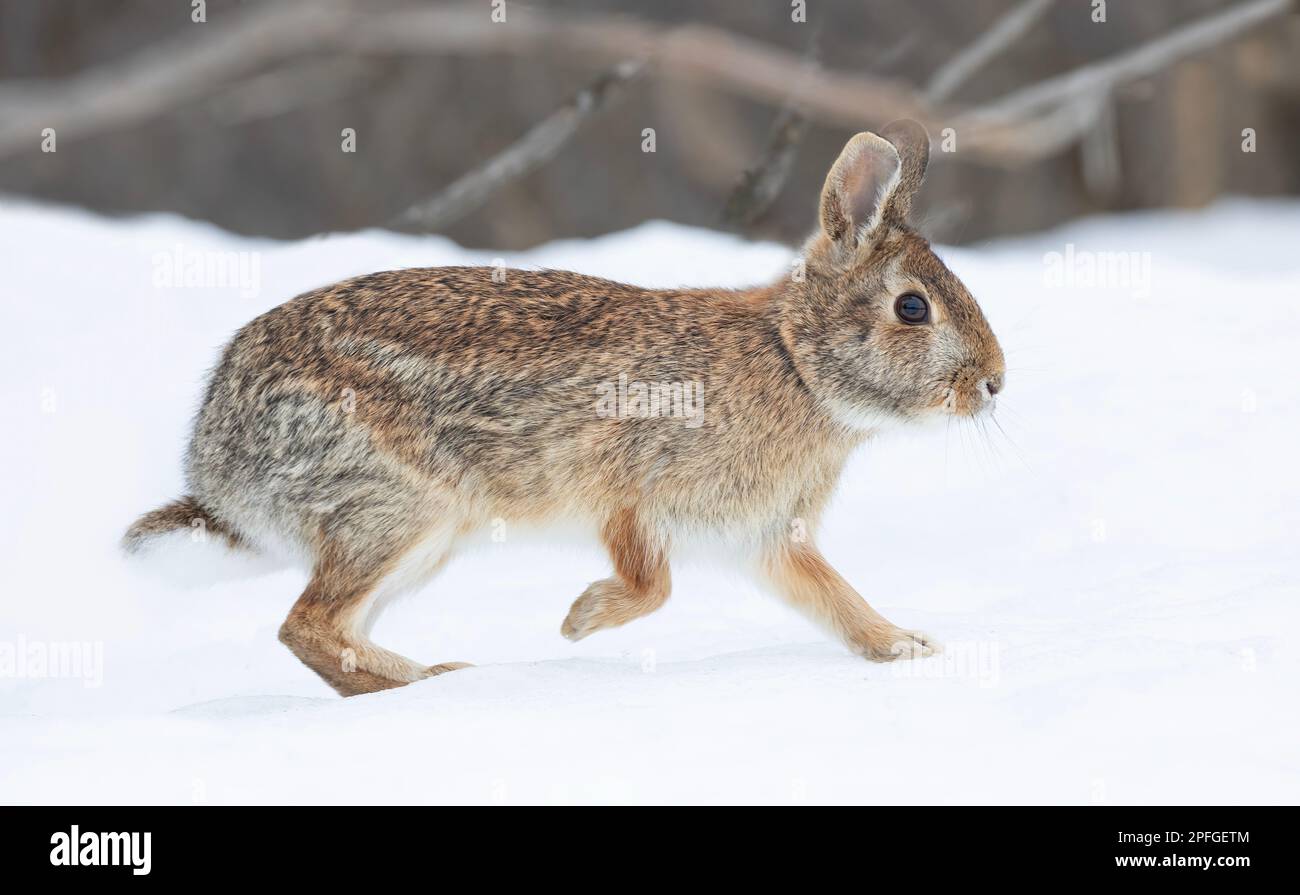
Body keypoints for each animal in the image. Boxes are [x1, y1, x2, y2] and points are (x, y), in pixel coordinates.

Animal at [124, 119, 1003, 697]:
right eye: (913, 308)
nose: (995, 381)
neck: (795, 363)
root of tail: (216, 464)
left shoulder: (766, 539)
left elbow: (836, 600)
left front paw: (908, 648)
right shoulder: (630, 487)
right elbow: (653, 585)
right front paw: (579, 621)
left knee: (329, 631)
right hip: (400, 508)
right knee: (306, 625)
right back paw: (438, 678)